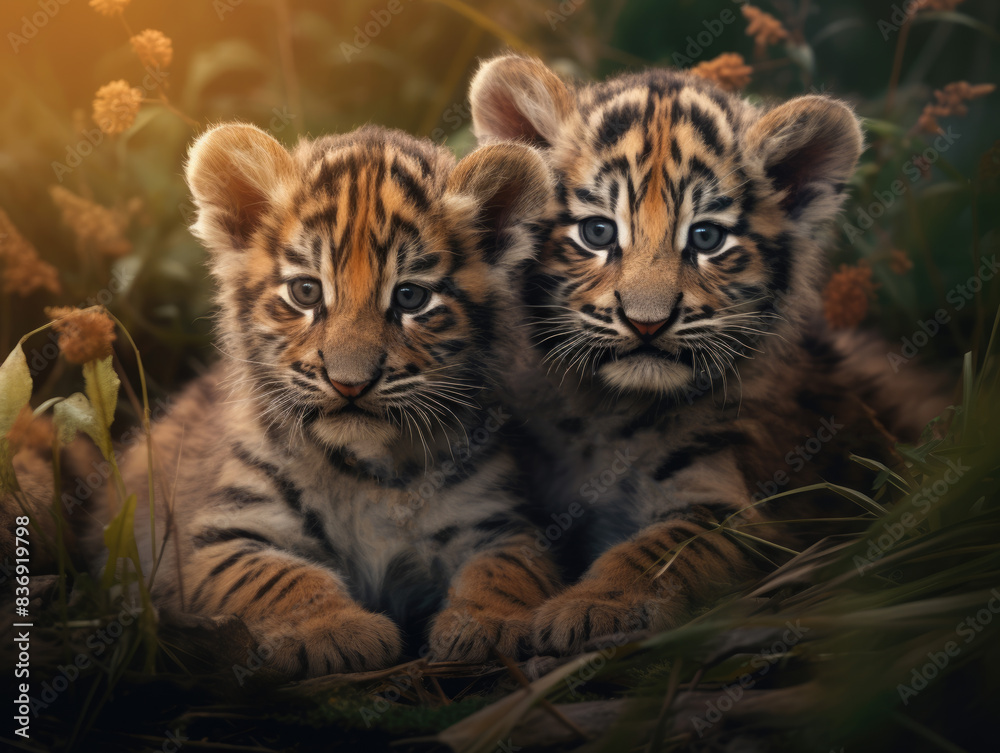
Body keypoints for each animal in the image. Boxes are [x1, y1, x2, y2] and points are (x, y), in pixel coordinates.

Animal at [87, 121, 560, 678]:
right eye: (307, 292)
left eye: (411, 298)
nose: (349, 383)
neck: (368, 471)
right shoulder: (222, 536)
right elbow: (280, 579)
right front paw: (335, 631)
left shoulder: (494, 521)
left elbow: (507, 569)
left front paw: (492, 622)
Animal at [467, 55, 949, 655]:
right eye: (597, 231)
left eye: (705, 238)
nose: (647, 322)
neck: (611, 409)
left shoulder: (729, 507)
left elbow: (659, 553)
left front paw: (592, 606)